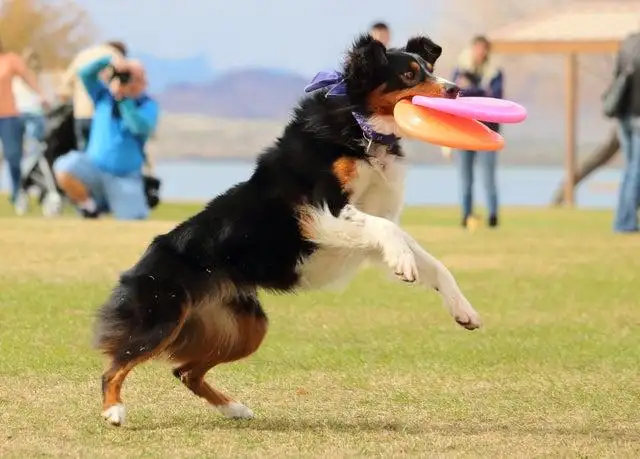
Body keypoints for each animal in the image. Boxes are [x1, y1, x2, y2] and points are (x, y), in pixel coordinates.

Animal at [95, 35, 480, 428]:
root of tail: (144, 260)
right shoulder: (324, 211)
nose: (456, 90)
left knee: (185, 371)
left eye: (430, 68)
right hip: (163, 317)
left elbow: (430, 261)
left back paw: (234, 409)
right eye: (409, 74)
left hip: (247, 327)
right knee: (114, 368)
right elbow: (391, 233)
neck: (359, 125)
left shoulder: (366, 230)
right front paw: (404, 262)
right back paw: (114, 410)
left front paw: (462, 309)